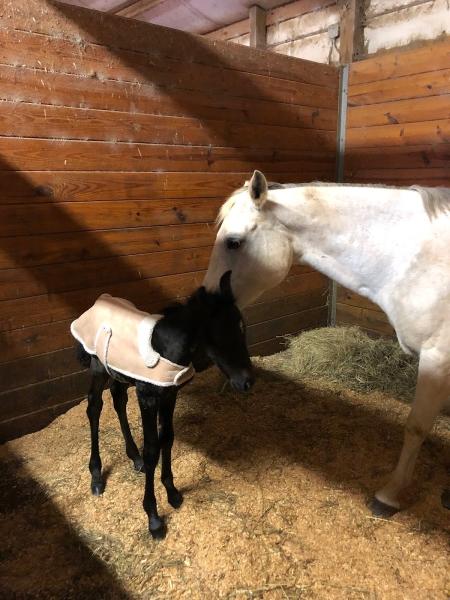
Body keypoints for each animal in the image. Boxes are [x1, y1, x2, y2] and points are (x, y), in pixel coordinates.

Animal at [77, 272, 253, 540]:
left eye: (241, 328)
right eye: (216, 333)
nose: (247, 381)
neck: (166, 350)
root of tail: (99, 301)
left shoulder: (170, 394)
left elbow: (167, 438)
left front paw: (172, 492)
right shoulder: (148, 396)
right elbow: (152, 450)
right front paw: (153, 518)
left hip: (120, 374)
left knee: (118, 399)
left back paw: (134, 458)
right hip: (98, 368)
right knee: (94, 408)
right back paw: (96, 476)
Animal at [205, 169, 450, 516]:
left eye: (234, 242)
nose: (207, 304)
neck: (413, 258)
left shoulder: (437, 358)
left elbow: (416, 426)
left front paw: (389, 495)